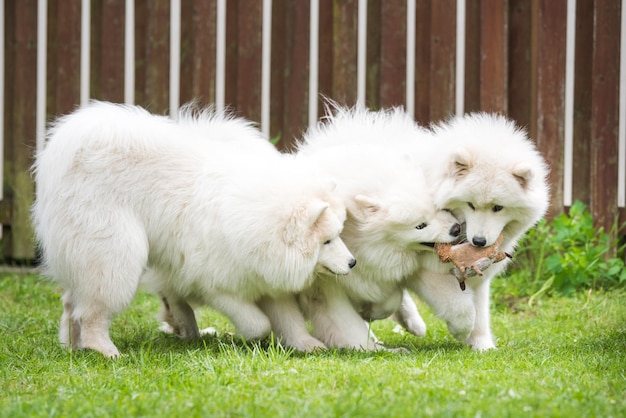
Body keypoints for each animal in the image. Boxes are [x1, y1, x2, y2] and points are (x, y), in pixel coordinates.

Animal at [33, 100, 356, 356]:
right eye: (327, 241)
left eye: (339, 235)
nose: (353, 262)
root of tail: (73, 141)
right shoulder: (217, 284)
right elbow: (258, 323)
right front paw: (255, 337)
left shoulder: (266, 281)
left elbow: (289, 319)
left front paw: (307, 344)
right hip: (113, 254)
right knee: (92, 310)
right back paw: (103, 349)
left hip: (88, 255)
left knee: (72, 304)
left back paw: (75, 347)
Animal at [258, 104, 458, 350]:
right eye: (420, 225)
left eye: (439, 208)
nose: (456, 229)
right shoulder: (330, 284)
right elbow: (350, 322)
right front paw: (369, 340)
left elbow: (392, 298)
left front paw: (374, 312)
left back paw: (414, 323)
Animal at [394, 112, 544, 352]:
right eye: (470, 205)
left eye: (498, 207)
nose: (479, 241)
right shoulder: (422, 268)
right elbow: (460, 306)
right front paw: (462, 329)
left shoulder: (479, 278)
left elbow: (480, 313)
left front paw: (482, 345)